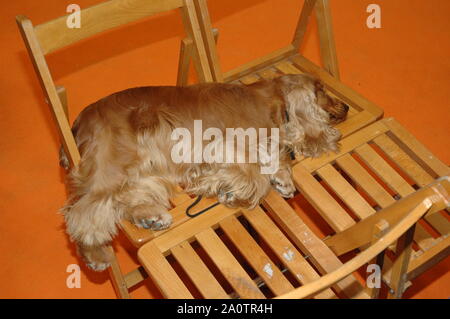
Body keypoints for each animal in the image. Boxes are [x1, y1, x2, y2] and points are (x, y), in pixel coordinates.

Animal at [59, 74, 348, 272]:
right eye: (321, 90)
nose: (345, 106)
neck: (269, 100)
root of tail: (78, 122)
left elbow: (272, 159)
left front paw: (283, 178)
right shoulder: (226, 144)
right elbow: (255, 176)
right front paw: (231, 192)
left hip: (143, 167)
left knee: (127, 197)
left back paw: (151, 218)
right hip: (114, 162)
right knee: (83, 212)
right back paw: (95, 255)